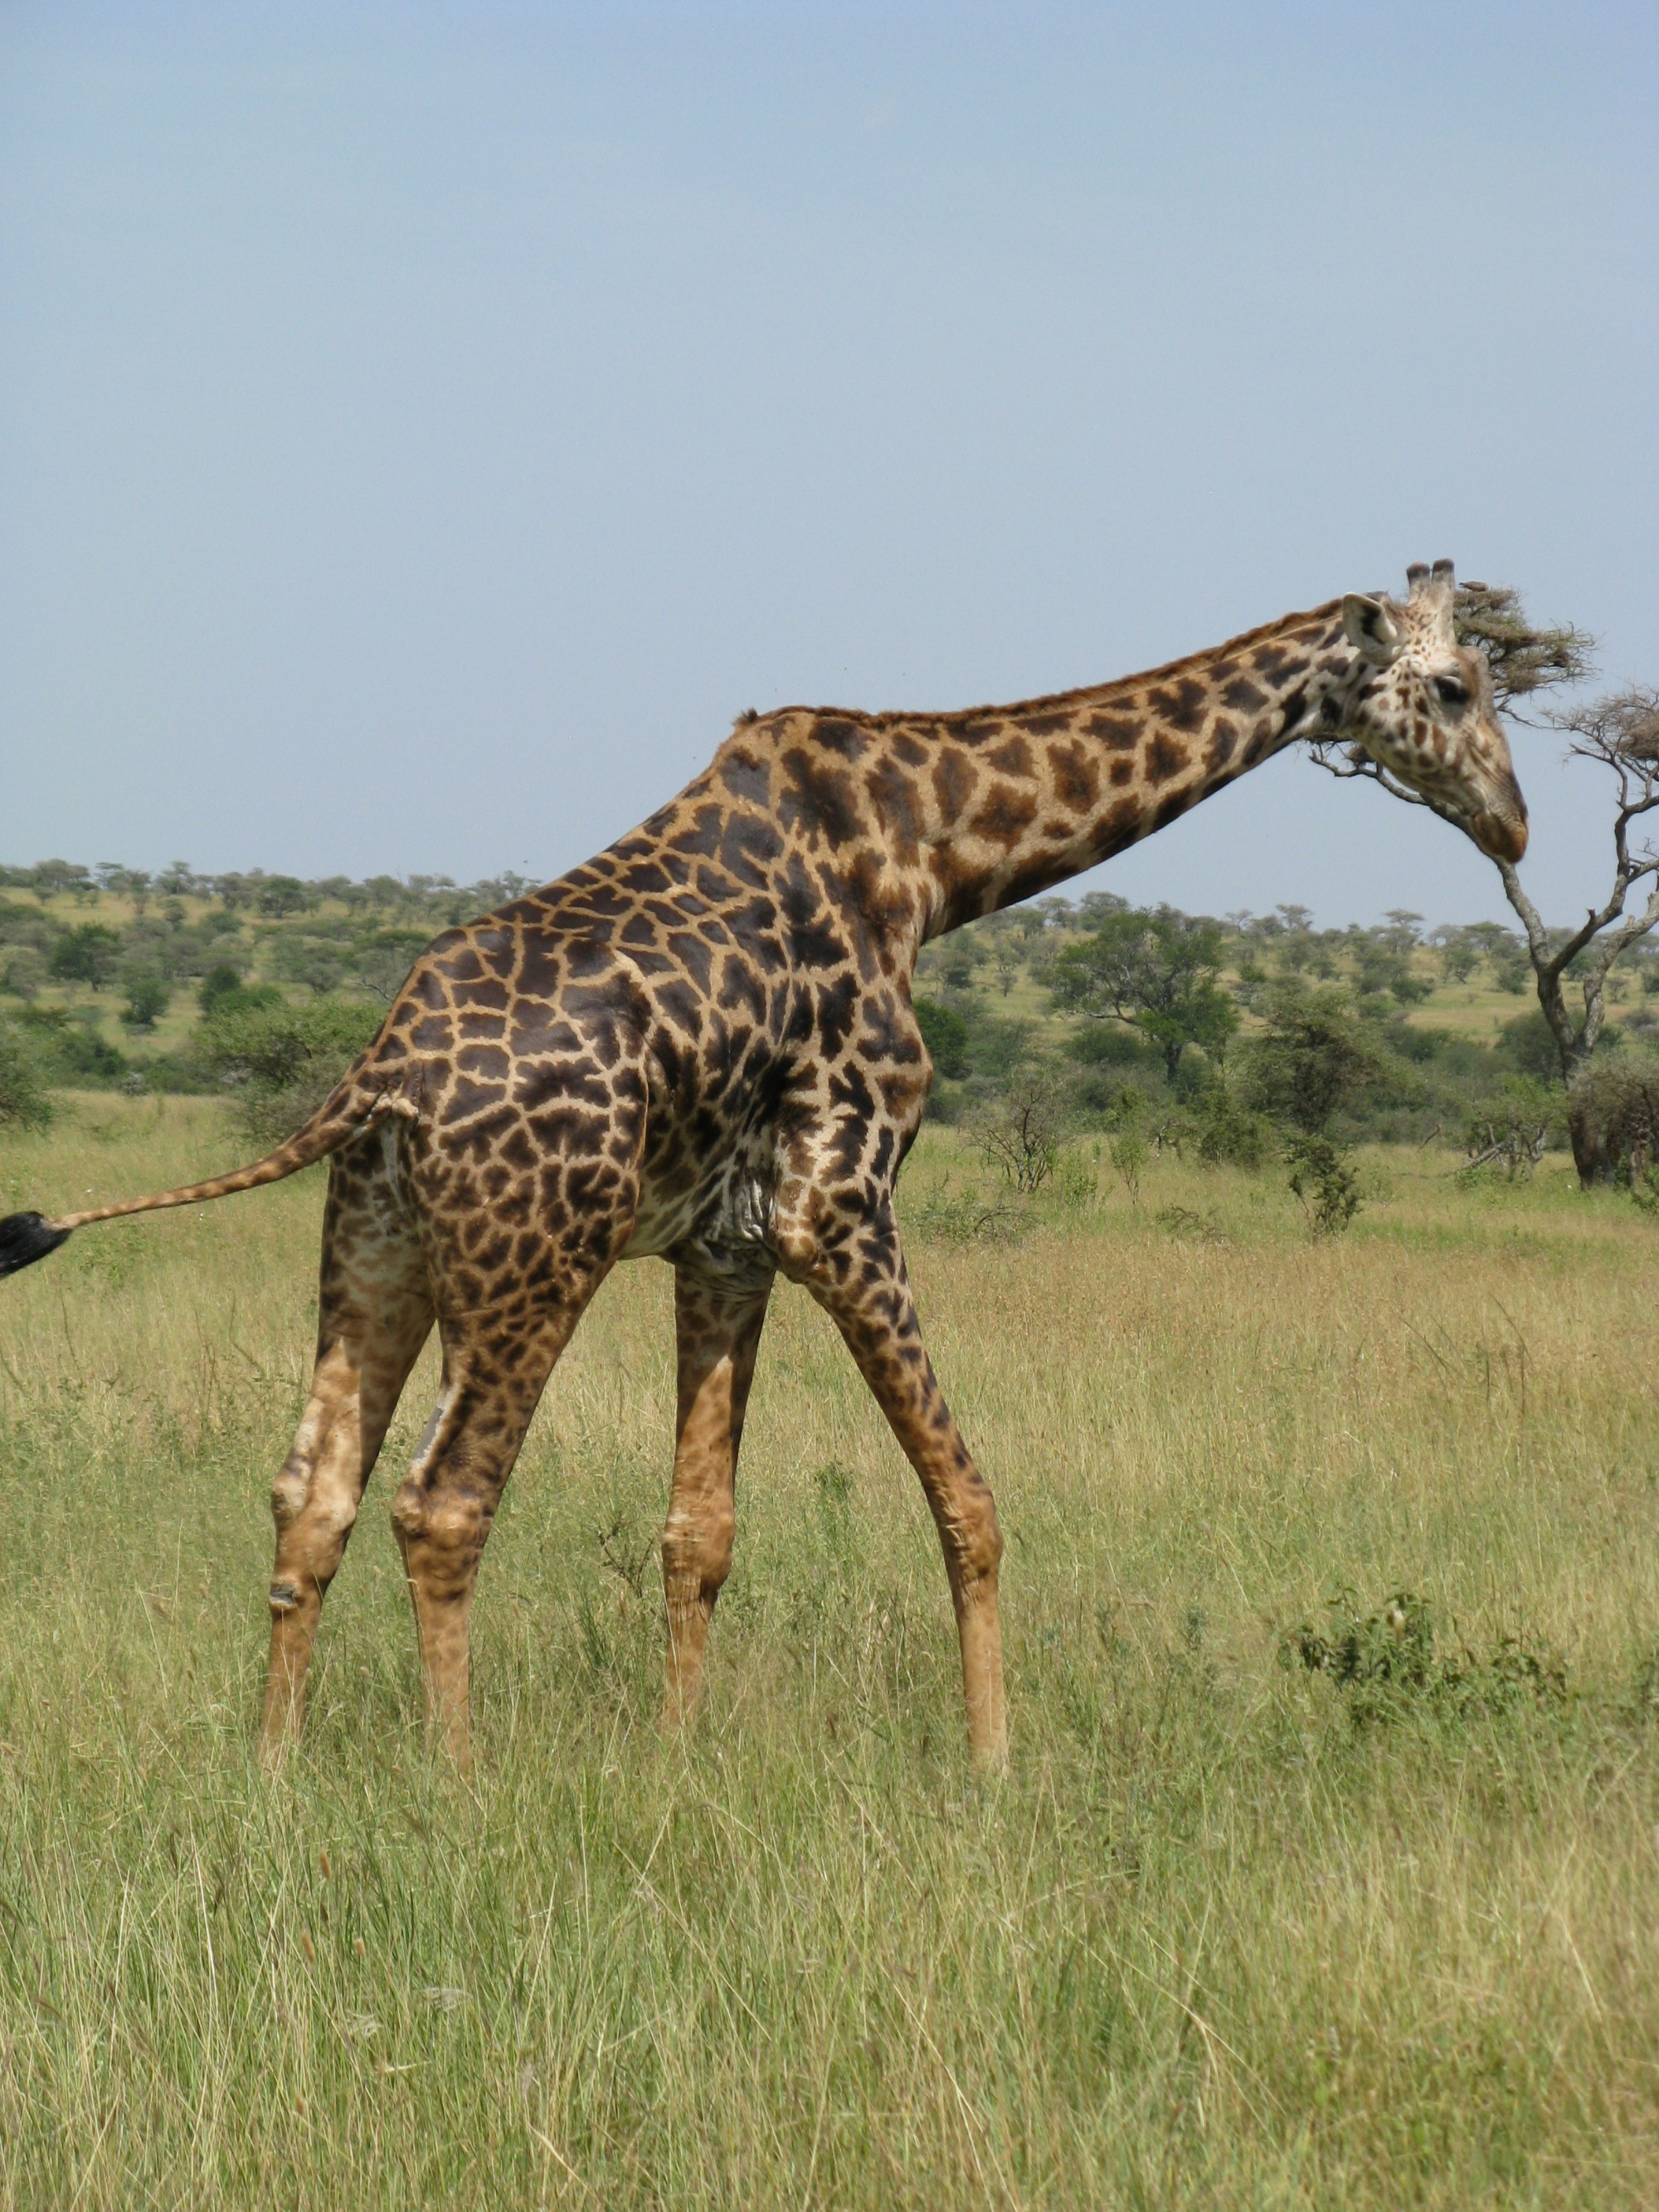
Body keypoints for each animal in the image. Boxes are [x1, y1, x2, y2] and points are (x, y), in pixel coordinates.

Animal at [0, 566, 1530, 1761]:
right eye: (1455, 686)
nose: (1516, 821)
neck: (934, 857)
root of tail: (381, 1076)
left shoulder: (724, 1242)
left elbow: (700, 1530)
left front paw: (677, 1767)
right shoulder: (839, 1200)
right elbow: (970, 1500)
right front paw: (996, 1768)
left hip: (376, 1246)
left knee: (309, 1492)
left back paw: (273, 1772)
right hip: (532, 1259)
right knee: (442, 1503)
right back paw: (461, 1787)